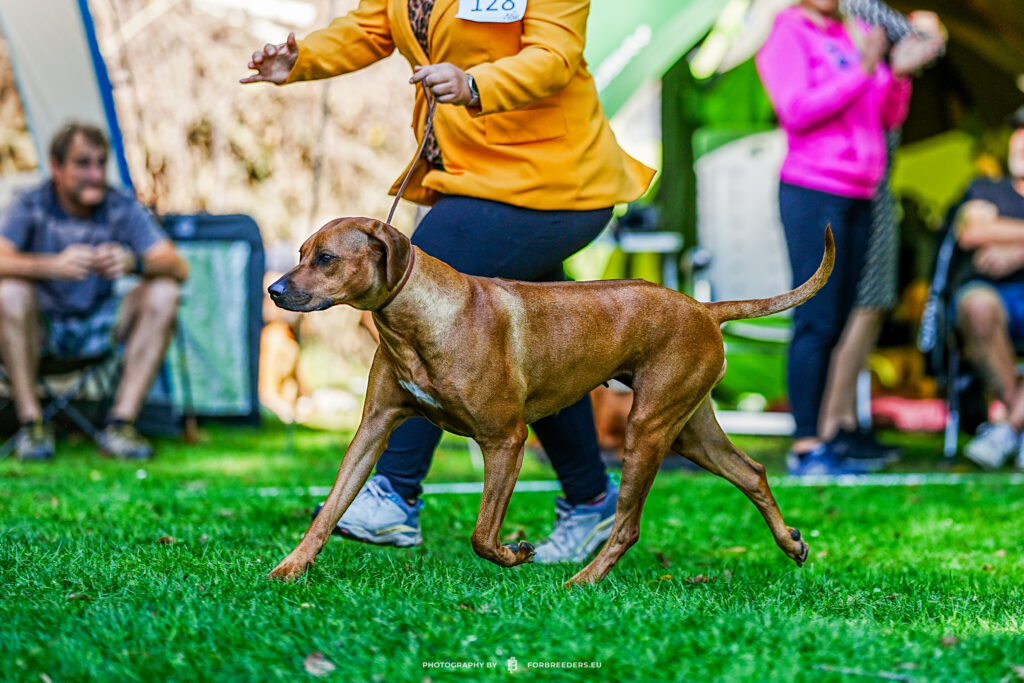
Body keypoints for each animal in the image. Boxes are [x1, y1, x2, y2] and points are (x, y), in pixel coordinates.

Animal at [267, 217, 833, 585]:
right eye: (300, 253)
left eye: (326, 258)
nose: (273, 290)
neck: (421, 319)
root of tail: (703, 307)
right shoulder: (374, 428)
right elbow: (329, 509)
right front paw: (291, 567)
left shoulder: (505, 439)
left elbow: (481, 534)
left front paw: (515, 554)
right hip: (690, 430)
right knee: (752, 472)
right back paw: (790, 542)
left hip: (648, 430)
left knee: (628, 526)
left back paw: (584, 580)